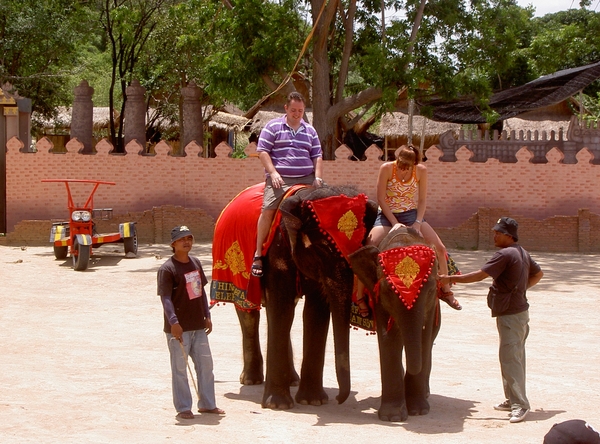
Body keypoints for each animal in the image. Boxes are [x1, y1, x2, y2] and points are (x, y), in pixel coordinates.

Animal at [212, 183, 376, 410]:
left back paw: (292, 380)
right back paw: (251, 380)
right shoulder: (276, 252)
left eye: (361, 244)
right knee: (248, 312)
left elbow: (314, 313)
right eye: (322, 248)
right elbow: (282, 308)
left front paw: (313, 401)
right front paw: (278, 405)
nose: (339, 399)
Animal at [346, 224, 440, 422]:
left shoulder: (432, 304)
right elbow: (388, 338)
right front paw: (393, 417)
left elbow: (424, 337)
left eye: (430, 291)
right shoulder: (377, 296)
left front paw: (419, 411)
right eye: (389, 292)